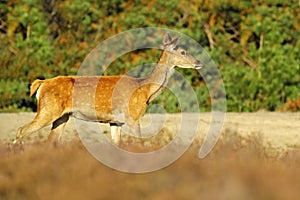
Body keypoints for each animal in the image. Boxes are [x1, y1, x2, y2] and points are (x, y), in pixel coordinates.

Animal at [16, 33, 204, 145]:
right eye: (183, 51)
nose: (199, 62)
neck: (146, 90)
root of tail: (41, 84)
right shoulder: (133, 116)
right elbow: (140, 143)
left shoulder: (115, 121)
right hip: (48, 110)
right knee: (21, 130)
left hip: (62, 116)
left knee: (51, 140)